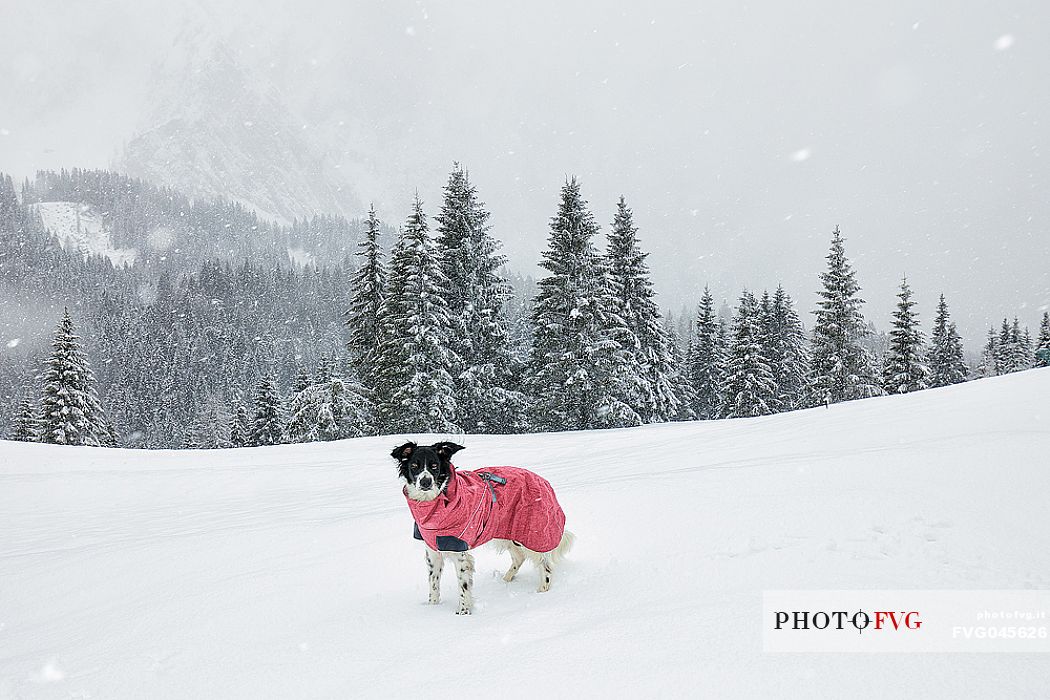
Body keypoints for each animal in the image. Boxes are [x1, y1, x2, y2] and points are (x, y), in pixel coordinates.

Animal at [392, 440, 575, 617]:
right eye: (414, 466)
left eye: (434, 466)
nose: (425, 482)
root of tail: (544, 481)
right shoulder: (433, 551)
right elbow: (434, 583)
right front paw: (431, 608)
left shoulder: (459, 552)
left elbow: (463, 586)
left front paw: (464, 613)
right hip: (507, 530)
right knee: (519, 557)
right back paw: (506, 579)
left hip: (532, 532)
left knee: (545, 565)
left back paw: (542, 592)